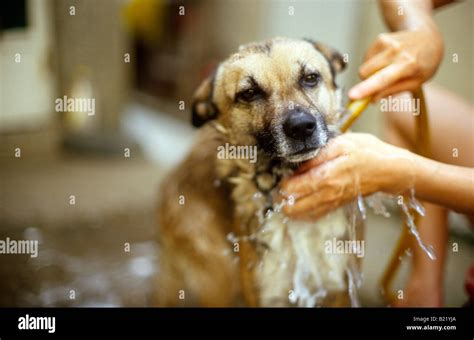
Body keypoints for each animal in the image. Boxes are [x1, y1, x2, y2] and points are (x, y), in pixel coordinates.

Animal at [156, 37, 362, 308]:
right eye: (249, 93)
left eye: (310, 78)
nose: (301, 127)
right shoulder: (264, 296)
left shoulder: (337, 290)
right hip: (220, 278)